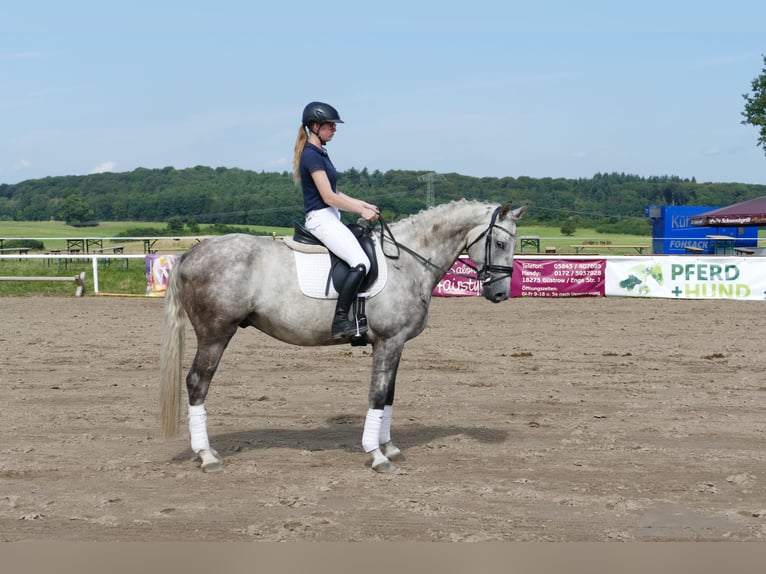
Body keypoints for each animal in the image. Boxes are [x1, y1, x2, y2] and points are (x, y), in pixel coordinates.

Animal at [156, 200, 528, 474]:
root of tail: (191, 253)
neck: (407, 262)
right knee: (197, 384)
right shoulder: (388, 341)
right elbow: (377, 395)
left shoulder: (394, 344)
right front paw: (376, 455)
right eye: (499, 243)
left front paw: (390, 448)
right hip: (215, 334)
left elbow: (389, 395)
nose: (499, 294)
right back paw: (207, 456)